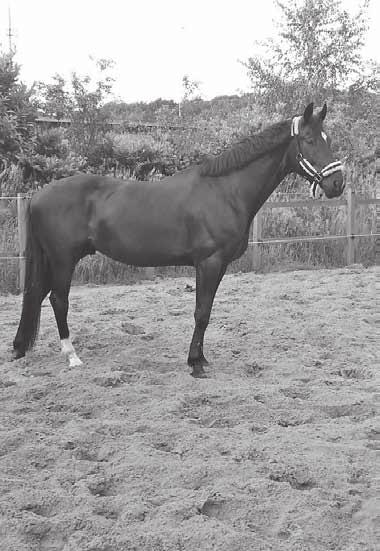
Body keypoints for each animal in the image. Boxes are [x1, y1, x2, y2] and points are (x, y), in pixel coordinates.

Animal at [11, 102, 344, 380]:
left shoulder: (216, 265)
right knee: (58, 300)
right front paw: (195, 363)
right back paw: (72, 356)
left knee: (37, 295)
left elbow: (205, 311)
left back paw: (19, 348)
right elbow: (202, 312)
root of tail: (38, 196)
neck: (224, 191)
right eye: (310, 140)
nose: (337, 183)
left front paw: (200, 359)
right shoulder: (209, 263)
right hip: (63, 259)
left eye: (328, 139)